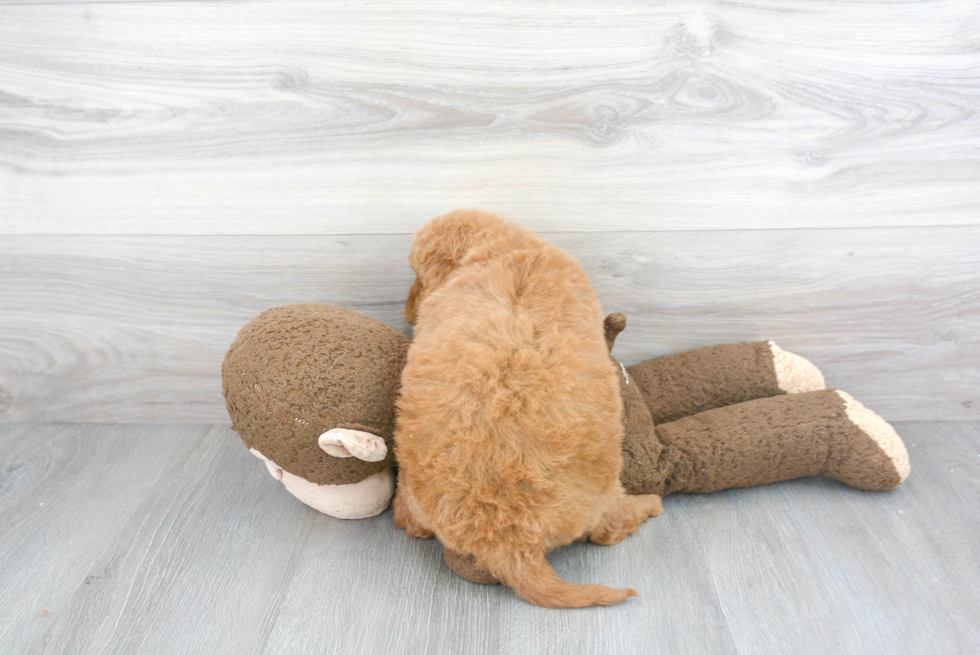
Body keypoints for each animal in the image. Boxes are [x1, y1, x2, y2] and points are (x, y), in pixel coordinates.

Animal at [388, 210, 660, 608]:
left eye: (416, 277)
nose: (407, 310)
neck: (508, 248)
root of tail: (509, 545)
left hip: (411, 483)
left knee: (410, 521)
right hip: (603, 496)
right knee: (607, 530)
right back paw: (650, 504)